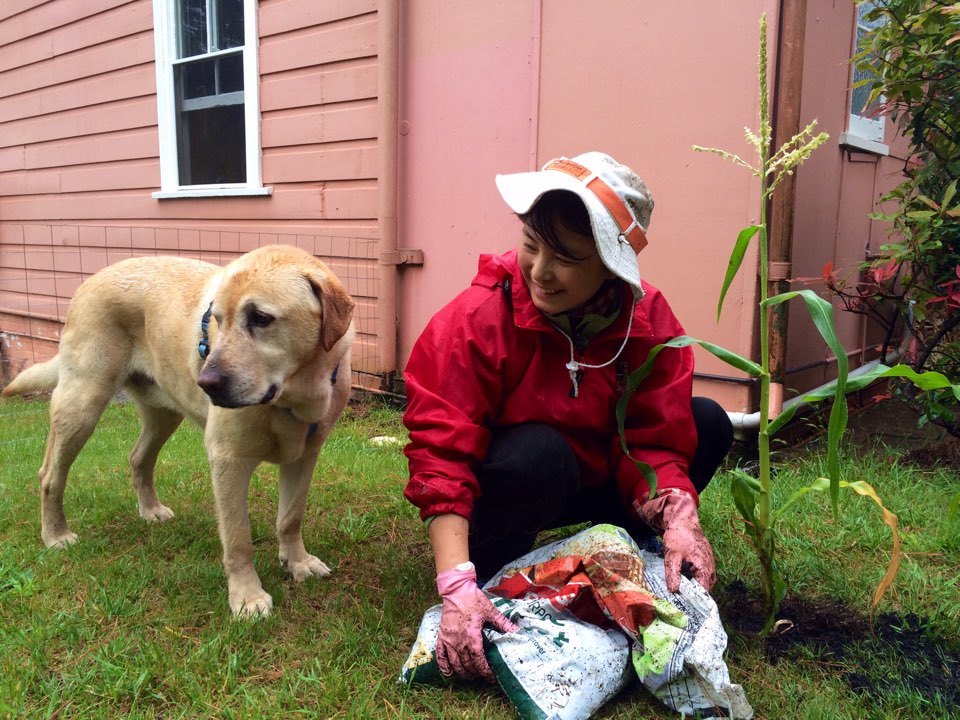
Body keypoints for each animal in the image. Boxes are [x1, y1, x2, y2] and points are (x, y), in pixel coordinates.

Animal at [1, 245, 354, 616]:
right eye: (217, 320)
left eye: (260, 318)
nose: (206, 383)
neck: (296, 395)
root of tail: (91, 280)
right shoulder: (227, 460)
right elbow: (238, 539)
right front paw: (247, 596)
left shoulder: (305, 457)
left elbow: (290, 517)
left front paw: (297, 562)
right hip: (81, 404)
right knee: (50, 475)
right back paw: (55, 534)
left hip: (163, 413)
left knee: (137, 458)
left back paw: (149, 510)